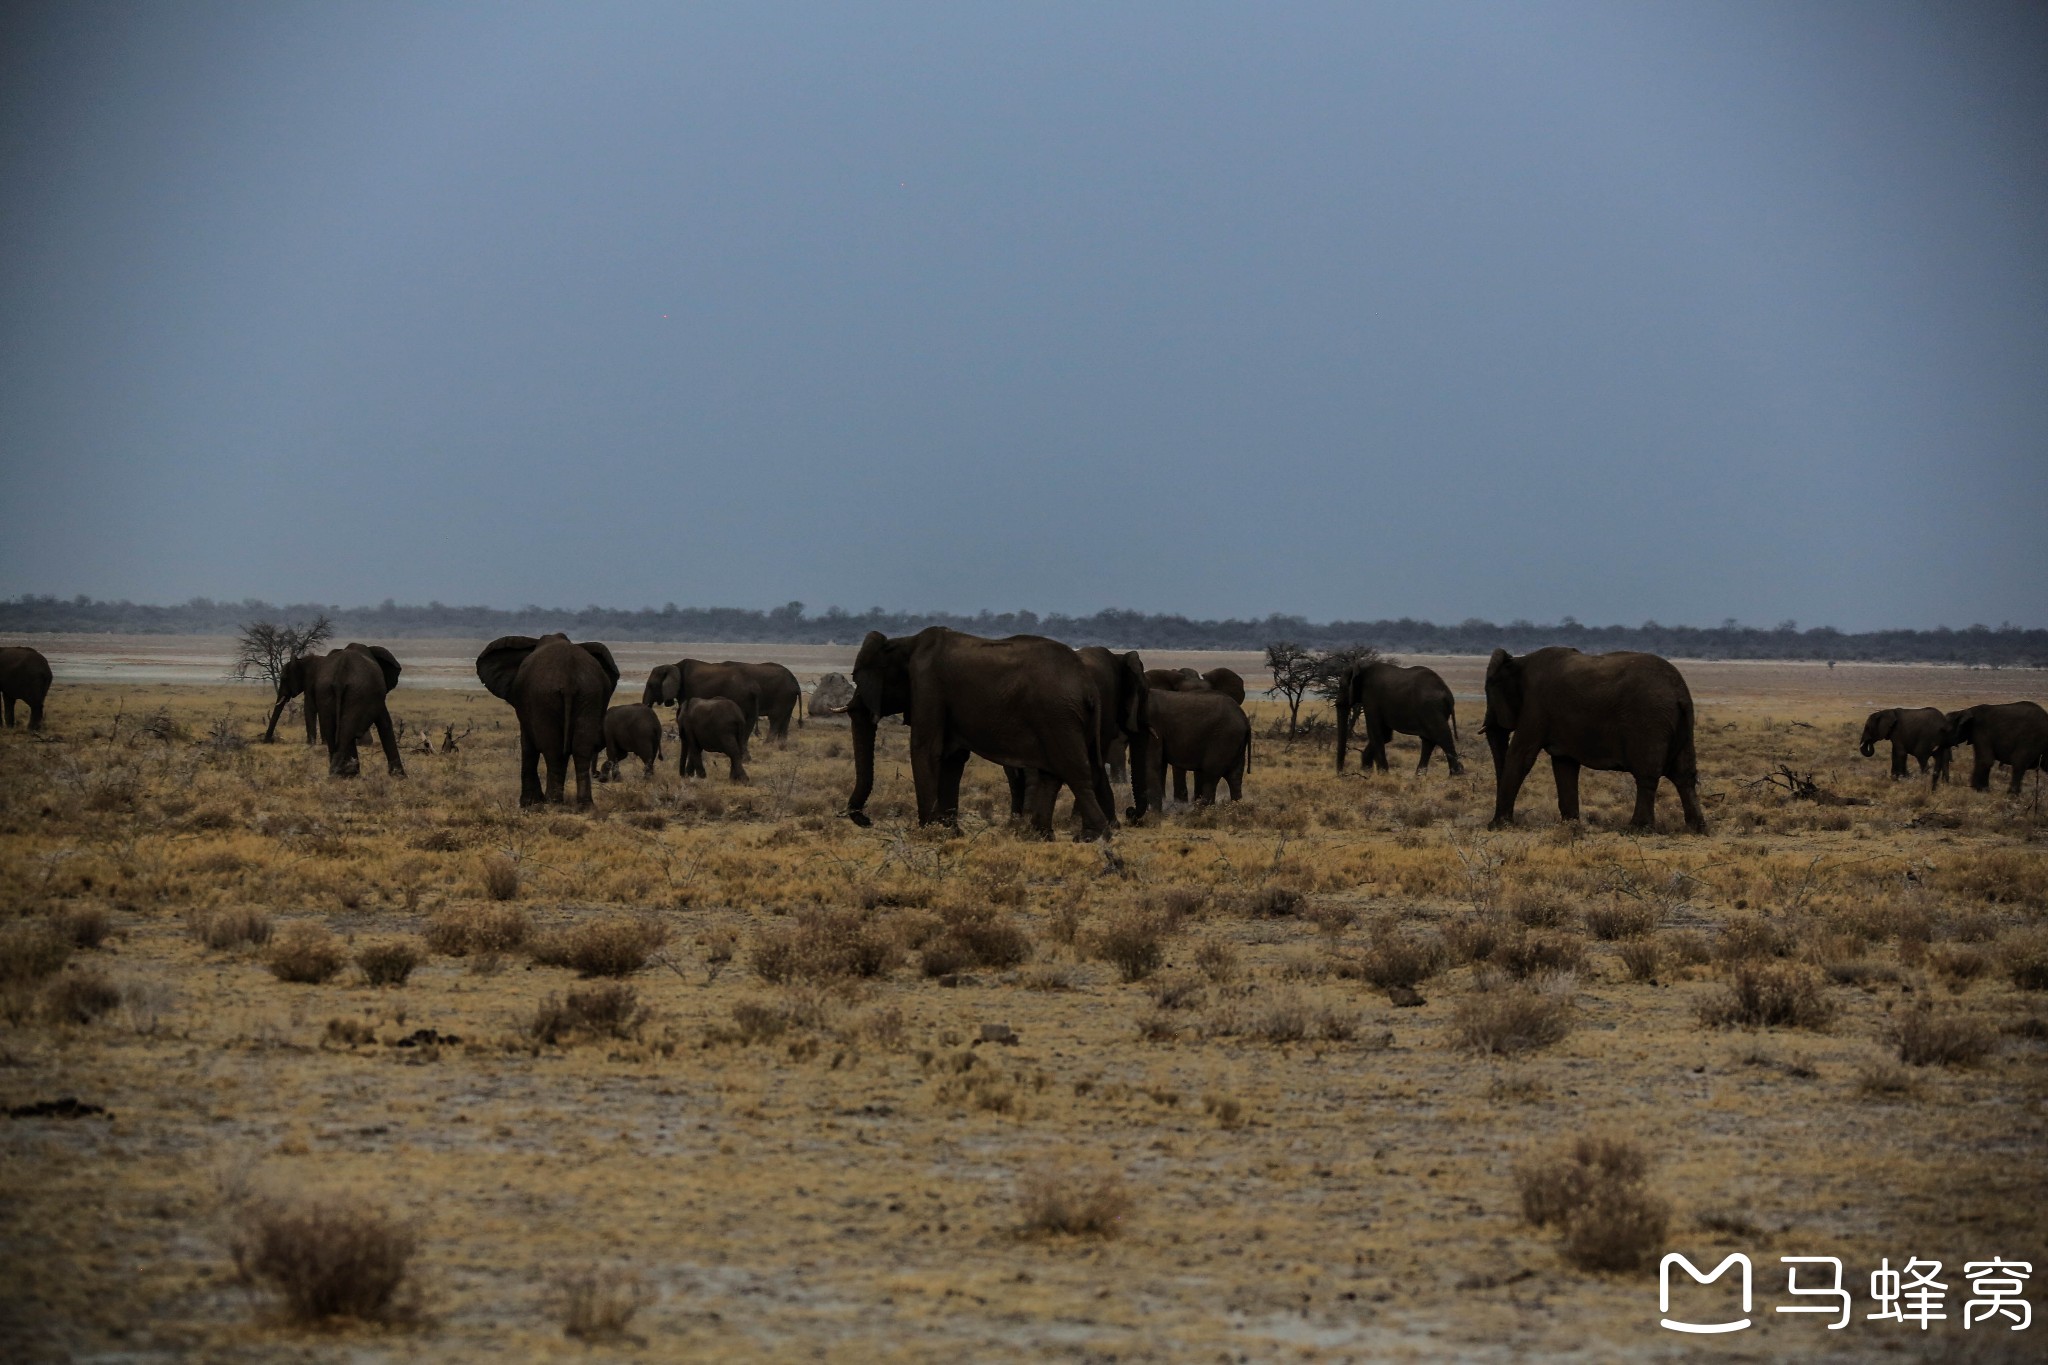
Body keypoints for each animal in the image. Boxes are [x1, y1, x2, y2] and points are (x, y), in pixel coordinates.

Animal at [475, 634, 618, 806]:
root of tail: (569, 679)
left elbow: (528, 745)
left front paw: (529, 804)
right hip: (590, 695)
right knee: (581, 749)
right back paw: (585, 805)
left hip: (545, 698)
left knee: (553, 750)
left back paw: (553, 802)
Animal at [839, 630, 1114, 843]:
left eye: (858, 681)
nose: (866, 820)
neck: (905, 642)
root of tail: (1087, 685)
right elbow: (952, 759)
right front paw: (951, 832)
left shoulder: (927, 685)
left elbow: (925, 750)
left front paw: (928, 831)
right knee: (1054, 774)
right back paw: (1040, 835)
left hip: (1058, 715)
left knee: (1074, 771)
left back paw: (1092, 836)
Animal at [1335, 663, 1466, 777]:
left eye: (1341, 686)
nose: (1341, 774)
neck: (1363, 667)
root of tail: (1448, 695)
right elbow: (1385, 736)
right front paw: (1367, 771)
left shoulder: (1371, 698)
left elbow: (1376, 732)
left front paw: (1382, 775)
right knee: (1429, 740)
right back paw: (1419, 777)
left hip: (1431, 708)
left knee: (1442, 736)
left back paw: (1456, 776)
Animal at [1482, 650, 1703, 834]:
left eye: (1488, 693)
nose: (1503, 821)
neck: (1519, 661)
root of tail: (1679, 693)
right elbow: (1564, 764)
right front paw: (1571, 824)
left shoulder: (1535, 706)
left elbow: (1520, 756)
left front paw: (1496, 826)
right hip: (1680, 722)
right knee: (1684, 775)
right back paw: (1696, 828)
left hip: (1649, 722)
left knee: (1646, 776)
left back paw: (1636, 829)